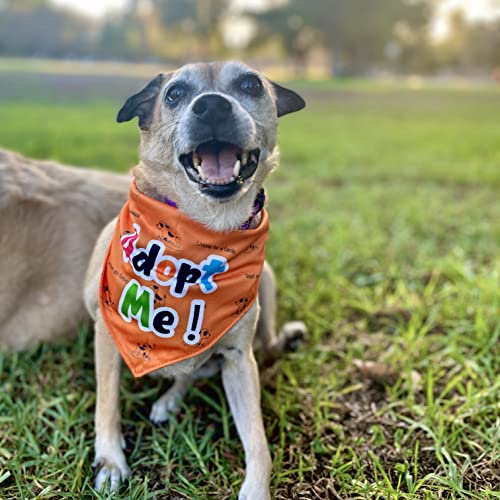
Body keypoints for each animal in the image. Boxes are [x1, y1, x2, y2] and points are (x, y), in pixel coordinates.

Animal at [84, 60, 306, 498]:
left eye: (251, 84)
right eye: (174, 93)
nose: (213, 107)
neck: (204, 233)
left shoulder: (239, 362)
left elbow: (258, 443)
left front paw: (256, 489)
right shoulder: (107, 332)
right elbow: (107, 403)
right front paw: (111, 461)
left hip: (267, 284)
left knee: (221, 361)